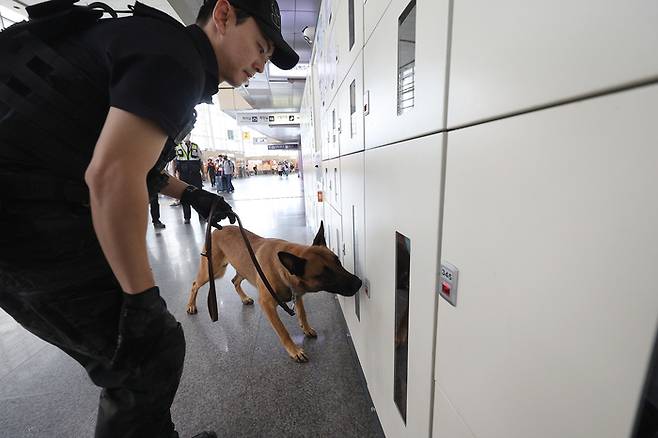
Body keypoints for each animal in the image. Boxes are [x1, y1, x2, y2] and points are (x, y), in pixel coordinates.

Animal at [184, 222, 362, 362]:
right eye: (325, 275)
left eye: (338, 262)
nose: (359, 283)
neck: (283, 269)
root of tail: (217, 229)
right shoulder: (268, 306)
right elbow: (283, 331)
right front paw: (294, 350)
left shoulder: (296, 295)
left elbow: (302, 313)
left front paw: (306, 328)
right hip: (212, 272)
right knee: (194, 284)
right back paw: (191, 305)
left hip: (243, 269)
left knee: (234, 281)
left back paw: (244, 298)